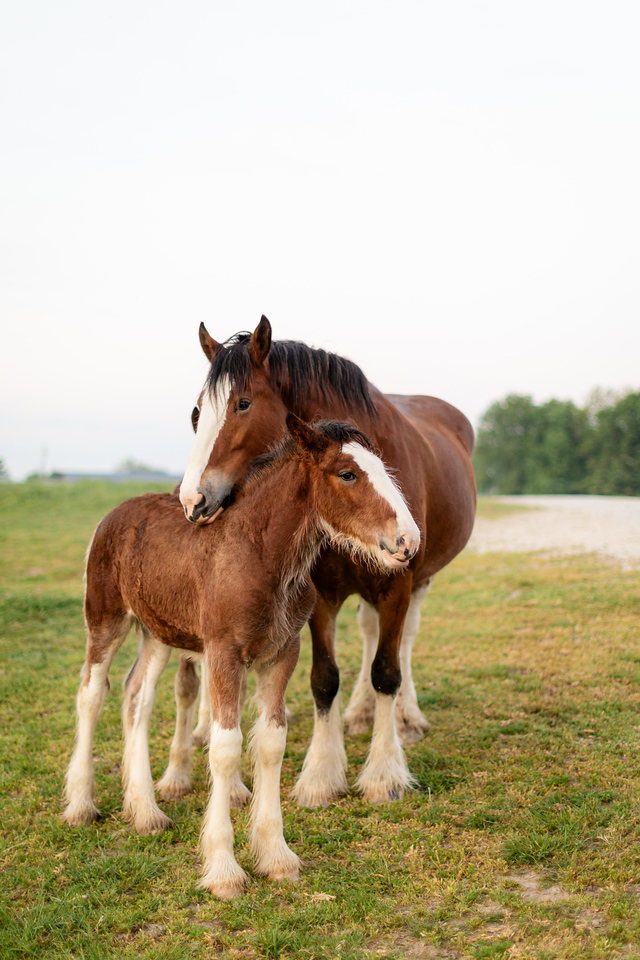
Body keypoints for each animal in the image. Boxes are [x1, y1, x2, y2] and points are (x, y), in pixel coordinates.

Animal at [63, 415, 420, 898]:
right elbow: (225, 747)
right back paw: (82, 805)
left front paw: (276, 856)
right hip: (105, 618)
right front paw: (224, 870)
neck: (260, 555)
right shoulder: (222, 653)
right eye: (347, 474)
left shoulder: (282, 653)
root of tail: (115, 512)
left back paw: (146, 812)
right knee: (92, 693)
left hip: (157, 632)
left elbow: (270, 742)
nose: (408, 541)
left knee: (136, 695)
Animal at [179, 316, 477, 807]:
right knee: (371, 633)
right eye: (198, 411)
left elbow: (387, 672)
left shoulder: (397, 583)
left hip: (419, 579)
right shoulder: (320, 593)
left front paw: (384, 774)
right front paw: (321, 773)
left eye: (243, 403)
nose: (193, 500)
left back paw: (406, 718)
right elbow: (325, 679)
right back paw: (359, 713)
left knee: (403, 642)